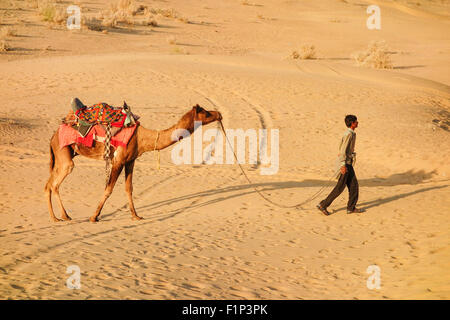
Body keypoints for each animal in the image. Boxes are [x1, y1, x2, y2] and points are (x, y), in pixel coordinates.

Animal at [45, 103, 221, 222]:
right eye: (205, 113)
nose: (218, 113)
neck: (141, 138)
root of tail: (52, 136)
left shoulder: (130, 161)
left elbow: (129, 188)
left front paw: (136, 215)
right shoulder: (118, 160)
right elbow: (108, 189)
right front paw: (94, 216)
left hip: (62, 155)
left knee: (48, 184)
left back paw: (57, 217)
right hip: (64, 153)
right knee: (55, 183)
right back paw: (62, 216)